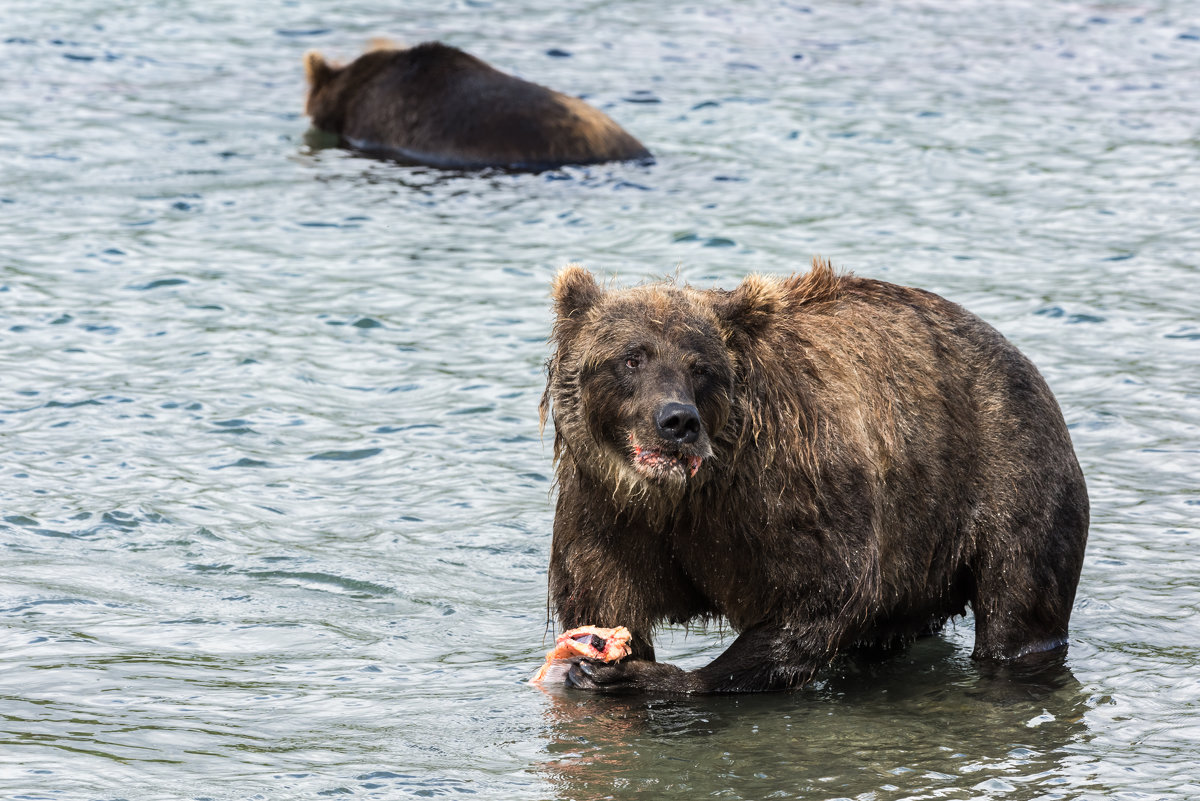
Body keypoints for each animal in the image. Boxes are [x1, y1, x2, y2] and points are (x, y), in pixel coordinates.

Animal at [542, 257, 1089, 695]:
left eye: (701, 367)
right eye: (631, 358)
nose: (677, 421)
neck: (683, 496)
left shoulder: (789, 492)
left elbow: (822, 595)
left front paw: (650, 677)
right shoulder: (607, 513)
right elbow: (604, 597)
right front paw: (603, 660)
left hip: (1007, 470)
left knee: (1017, 602)